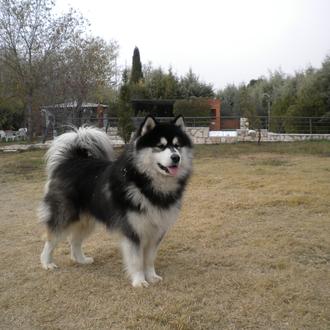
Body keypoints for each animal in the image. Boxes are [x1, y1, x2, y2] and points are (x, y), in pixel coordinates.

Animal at [38, 115, 193, 286]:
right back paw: (47, 263)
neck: (146, 184)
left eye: (177, 146)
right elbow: (136, 260)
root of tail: (71, 160)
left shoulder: (157, 230)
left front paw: (151, 276)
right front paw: (139, 281)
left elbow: (149, 258)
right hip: (65, 215)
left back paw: (81, 260)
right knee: (51, 239)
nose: (176, 157)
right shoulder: (132, 230)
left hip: (87, 220)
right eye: (160, 146)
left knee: (75, 241)